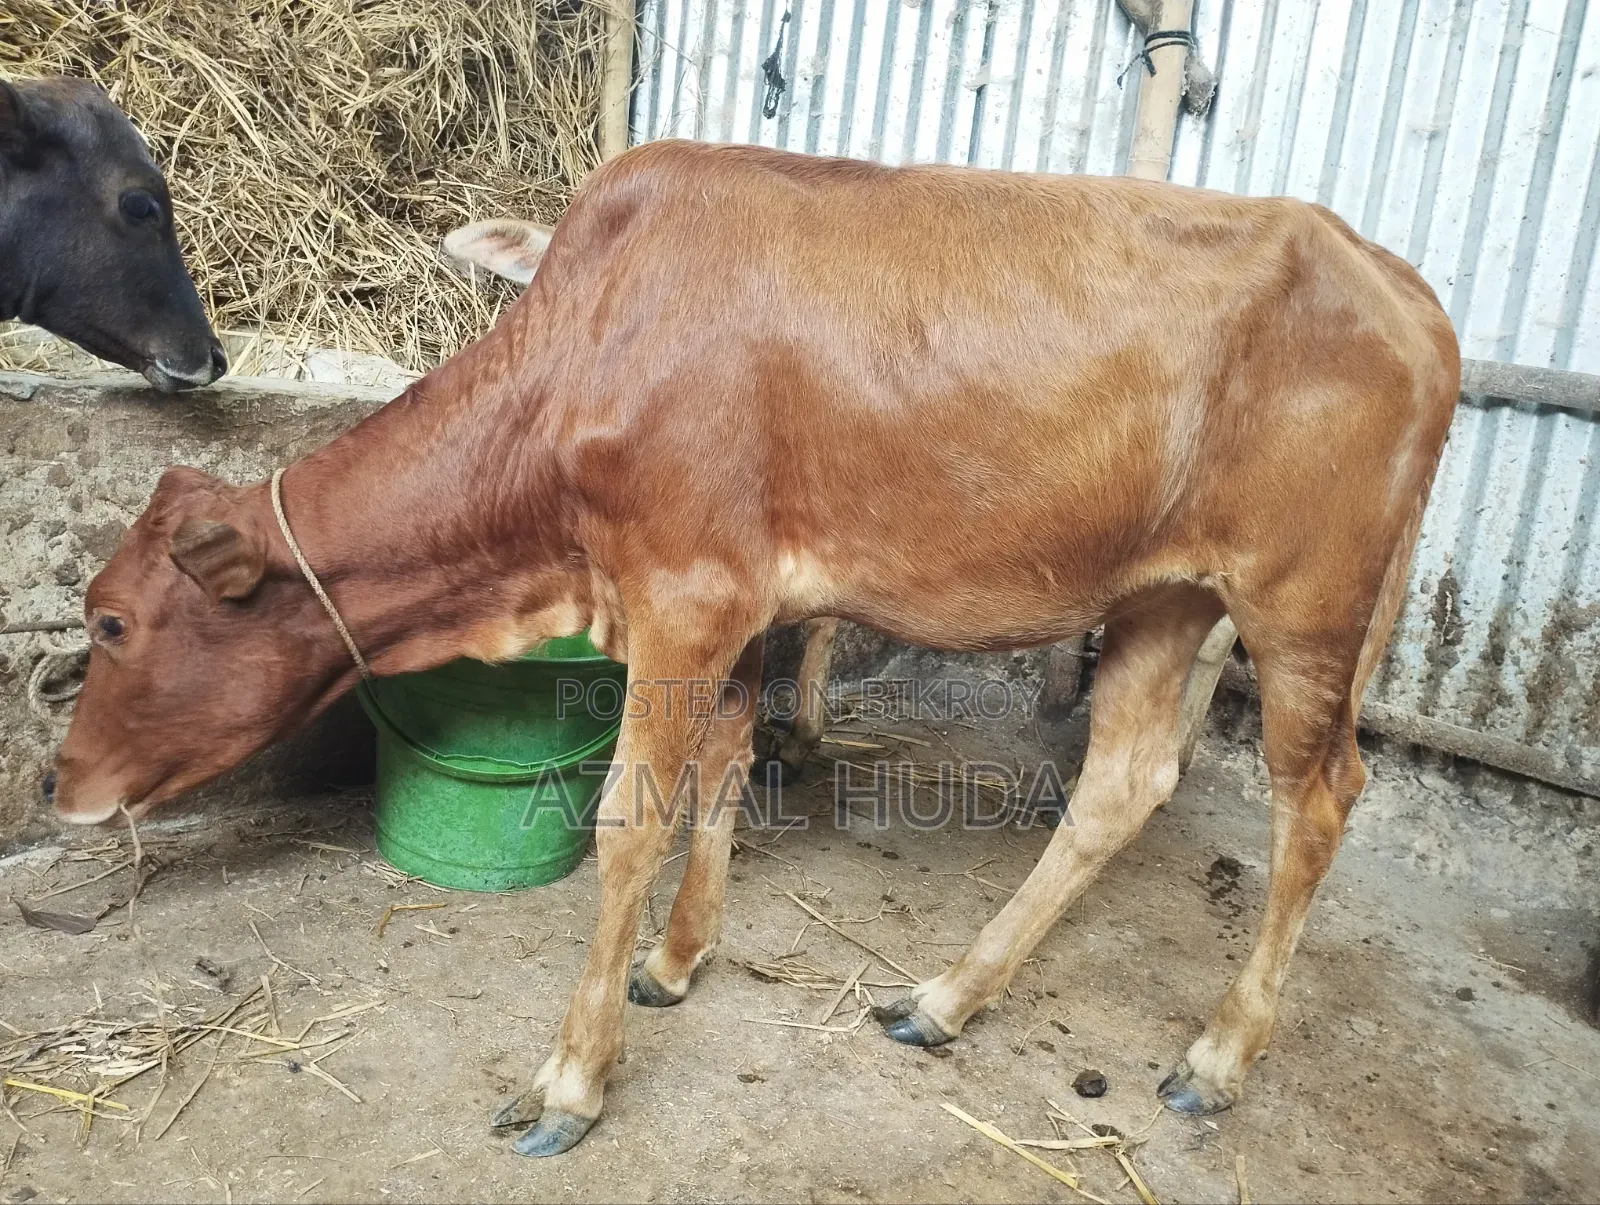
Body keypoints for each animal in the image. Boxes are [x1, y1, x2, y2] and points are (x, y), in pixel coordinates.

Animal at [48, 139, 1460, 1157]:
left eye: (112, 620)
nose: (60, 784)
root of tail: (1398, 279)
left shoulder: (685, 593)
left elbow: (633, 817)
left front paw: (572, 1078)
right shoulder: (726, 608)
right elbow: (720, 771)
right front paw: (678, 962)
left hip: (1301, 601)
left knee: (1317, 796)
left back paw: (1216, 1057)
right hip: (1161, 595)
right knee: (1121, 781)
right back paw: (945, 997)